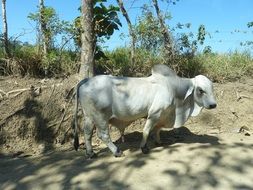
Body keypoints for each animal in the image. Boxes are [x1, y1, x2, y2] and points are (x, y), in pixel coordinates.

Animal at [73, 64, 217, 158]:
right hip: (101, 116)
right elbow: (147, 130)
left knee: (87, 133)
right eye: (200, 90)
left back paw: (90, 153)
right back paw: (117, 152)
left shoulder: (162, 115)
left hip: (89, 116)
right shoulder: (154, 114)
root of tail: (87, 80)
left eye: (212, 88)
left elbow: (157, 130)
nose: (213, 105)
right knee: (103, 135)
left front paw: (159, 142)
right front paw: (144, 147)